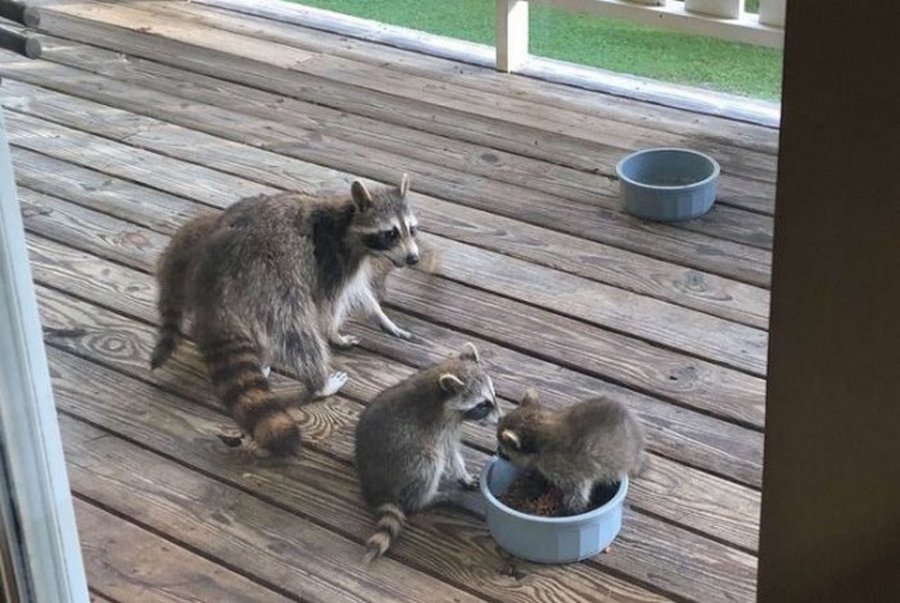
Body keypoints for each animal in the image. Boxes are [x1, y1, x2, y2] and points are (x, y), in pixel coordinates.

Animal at [150, 175, 422, 458]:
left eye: (412, 230)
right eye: (390, 233)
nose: (414, 258)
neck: (348, 220)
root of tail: (213, 277)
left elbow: (360, 292)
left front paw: (383, 319)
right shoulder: (332, 260)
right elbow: (330, 304)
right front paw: (334, 332)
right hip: (271, 279)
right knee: (296, 331)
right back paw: (318, 383)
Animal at [356, 344, 500, 568]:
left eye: (493, 394)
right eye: (482, 405)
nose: (500, 418)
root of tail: (374, 485)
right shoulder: (440, 428)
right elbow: (449, 454)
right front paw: (463, 474)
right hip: (407, 458)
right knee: (429, 463)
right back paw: (427, 499)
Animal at [496, 392, 644, 516]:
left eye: (502, 448)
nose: (497, 452)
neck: (543, 429)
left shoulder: (570, 468)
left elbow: (578, 494)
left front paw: (567, 510)